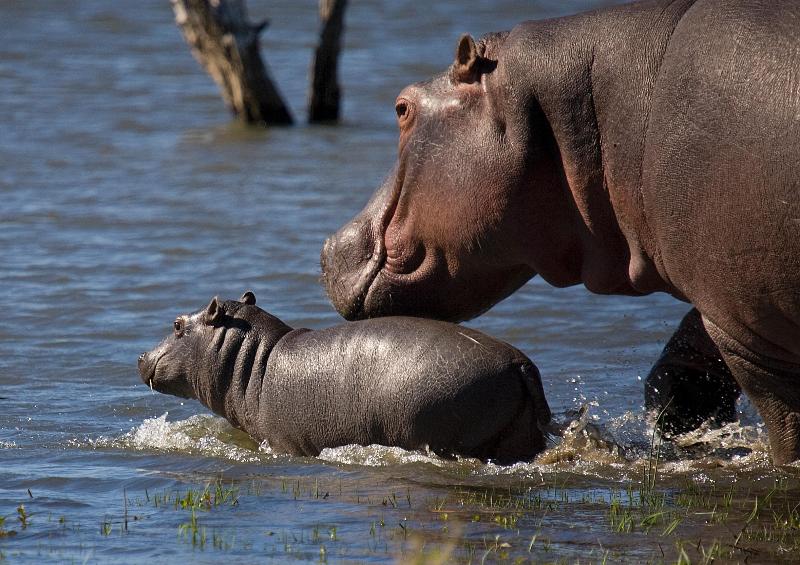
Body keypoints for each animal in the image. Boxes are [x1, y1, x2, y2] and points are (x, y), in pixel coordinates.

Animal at [136, 290, 552, 462]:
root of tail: (520, 364)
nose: (140, 355)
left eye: (177, 325)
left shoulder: (284, 442)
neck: (257, 359)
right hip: (517, 436)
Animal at [322, 1, 800, 462]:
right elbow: (685, 348)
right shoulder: (725, 300)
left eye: (401, 107)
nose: (327, 247)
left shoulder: (746, 325)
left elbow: (785, 423)